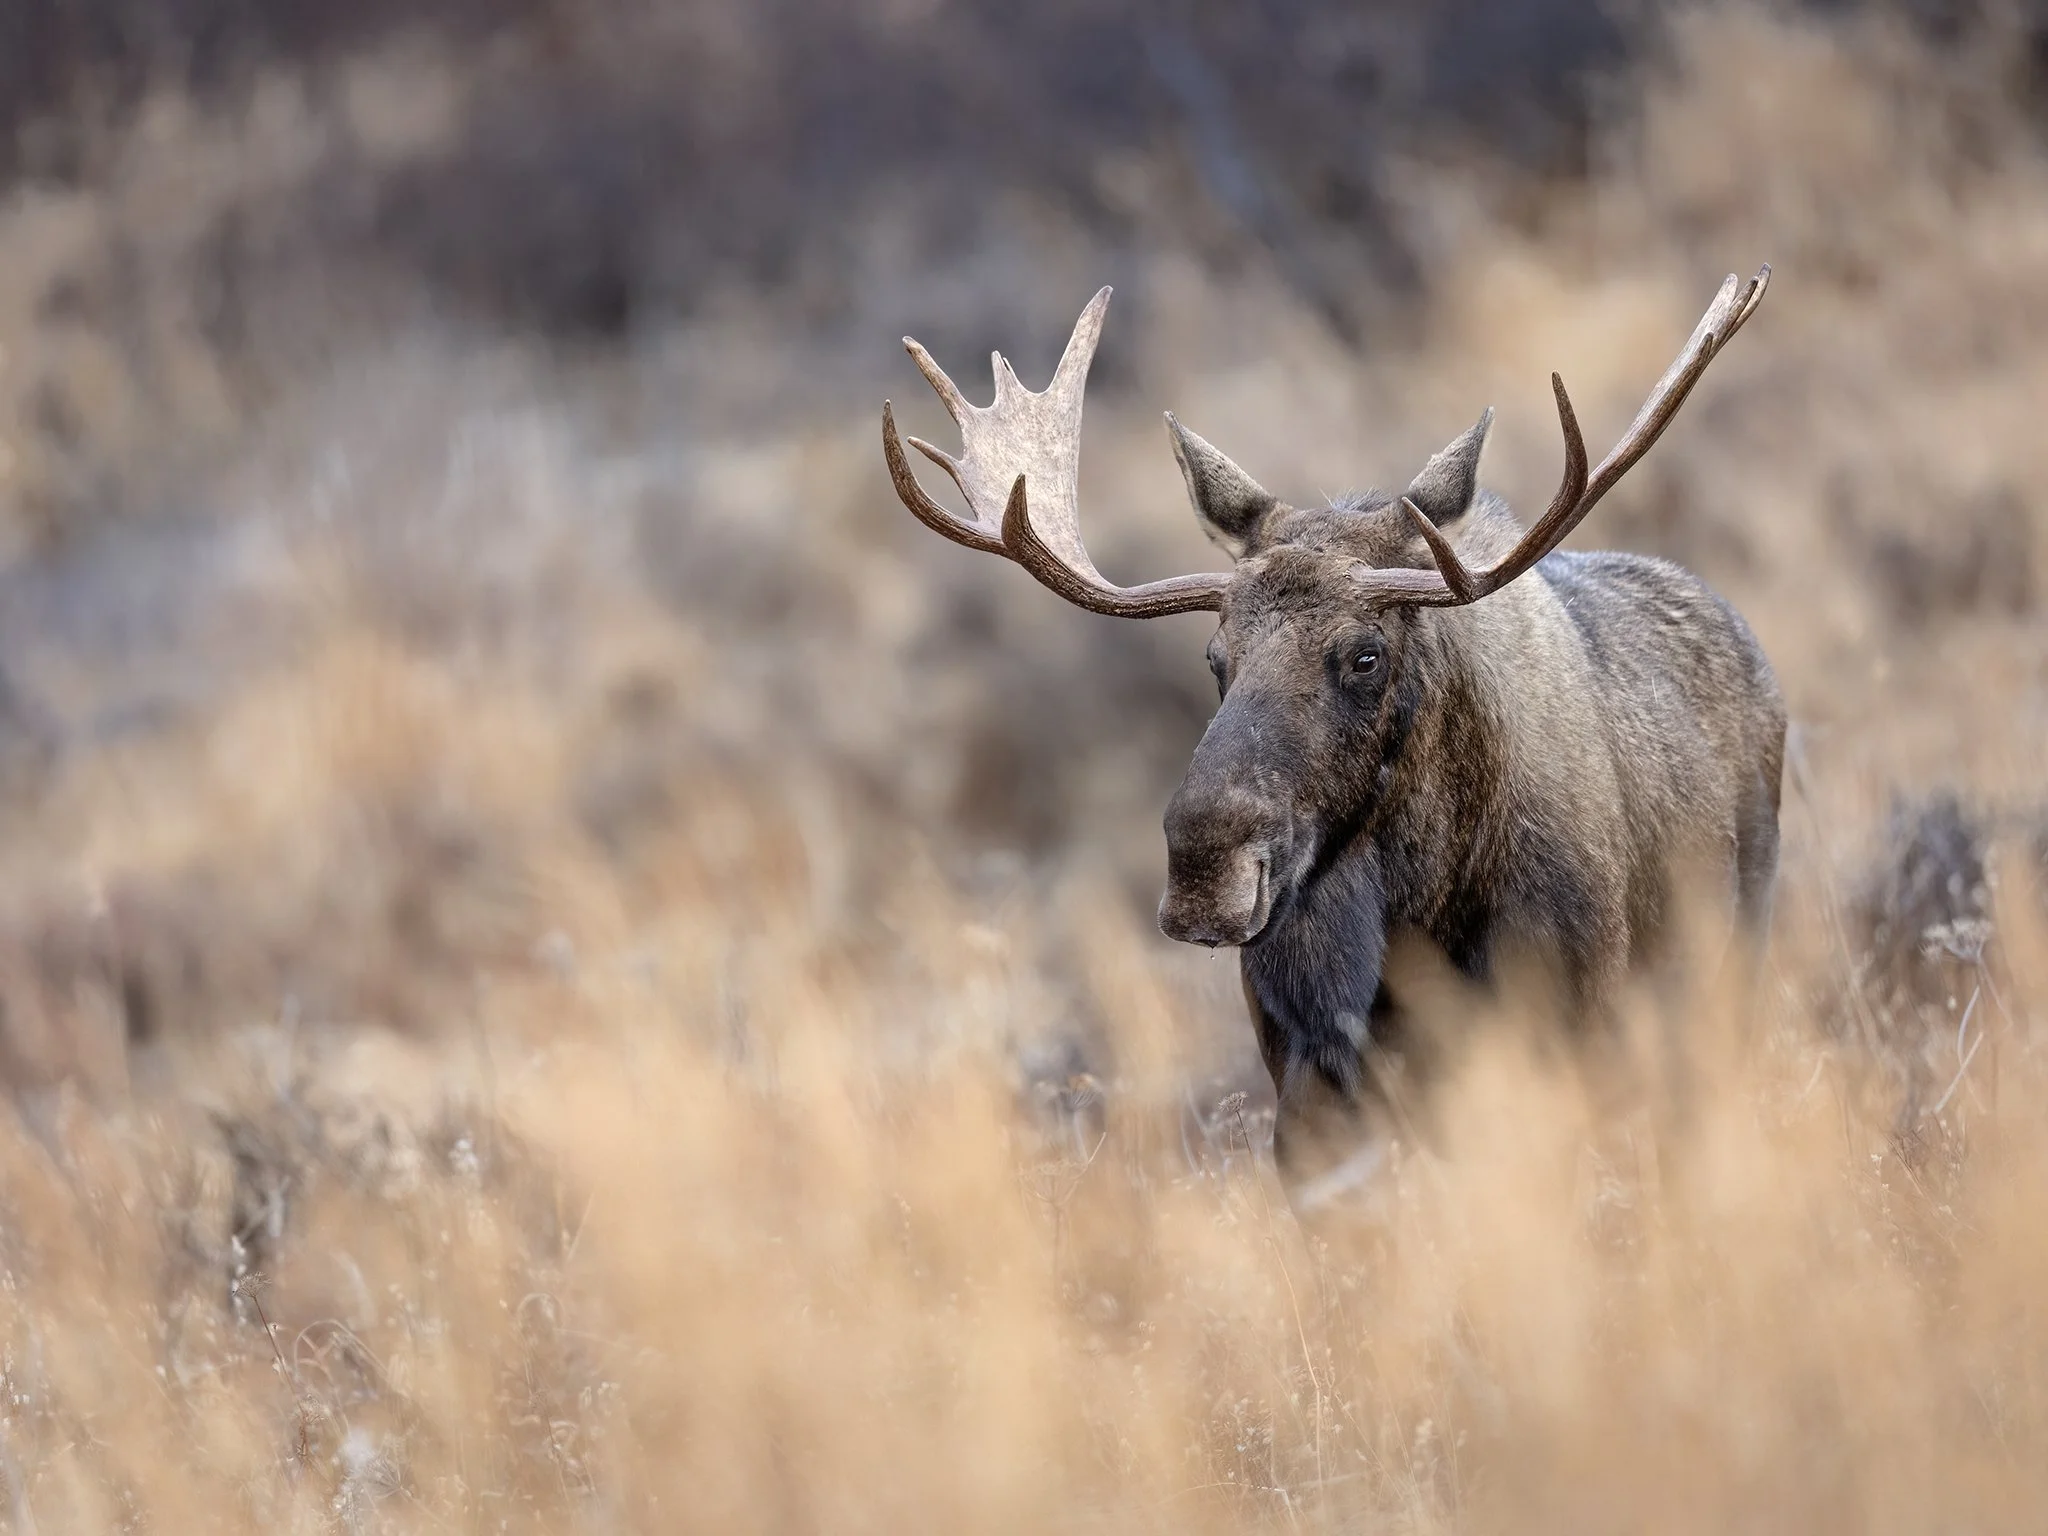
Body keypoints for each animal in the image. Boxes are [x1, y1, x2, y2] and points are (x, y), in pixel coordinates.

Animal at [881, 271, 1784, 1213]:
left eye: (1365, 653)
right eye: (1216, 656)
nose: (1206, 867)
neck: (1425, 905)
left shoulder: (1572, 1038)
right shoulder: (1310, 1090)